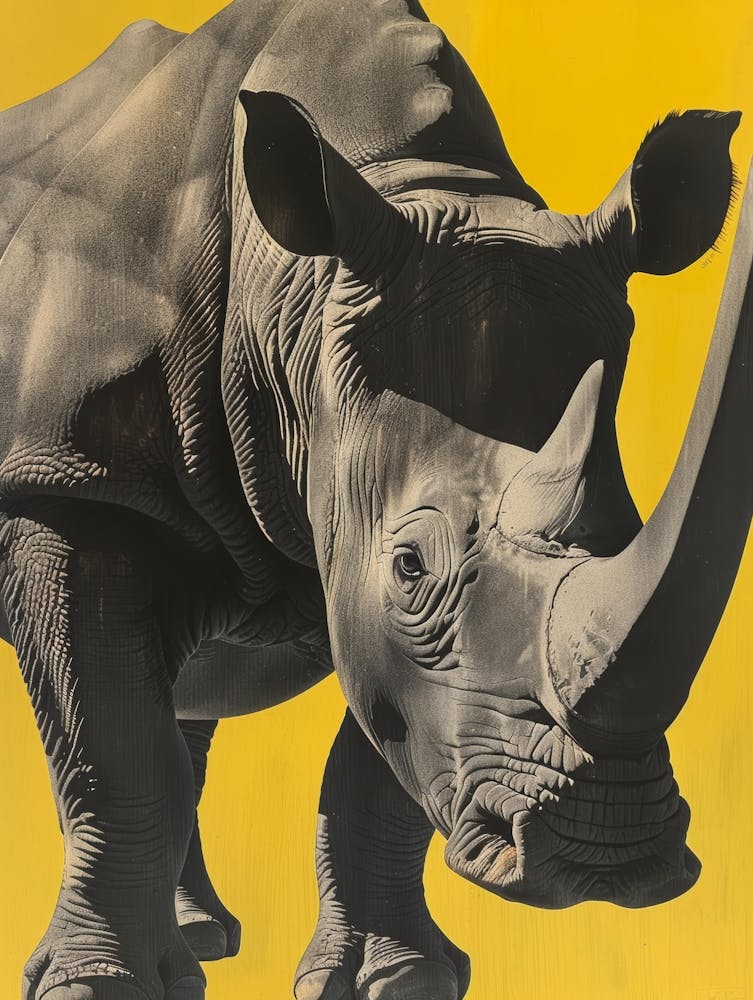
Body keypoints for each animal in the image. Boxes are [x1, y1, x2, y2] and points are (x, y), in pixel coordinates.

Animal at [1, 0, 751, 997]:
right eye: (409, 567)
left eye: (630, 530)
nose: (607, 850)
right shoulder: (72, 484)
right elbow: (113, 753)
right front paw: (96, 988)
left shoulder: (370, 579)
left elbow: (378, 766)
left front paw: (397, 979)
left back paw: (206, 941)